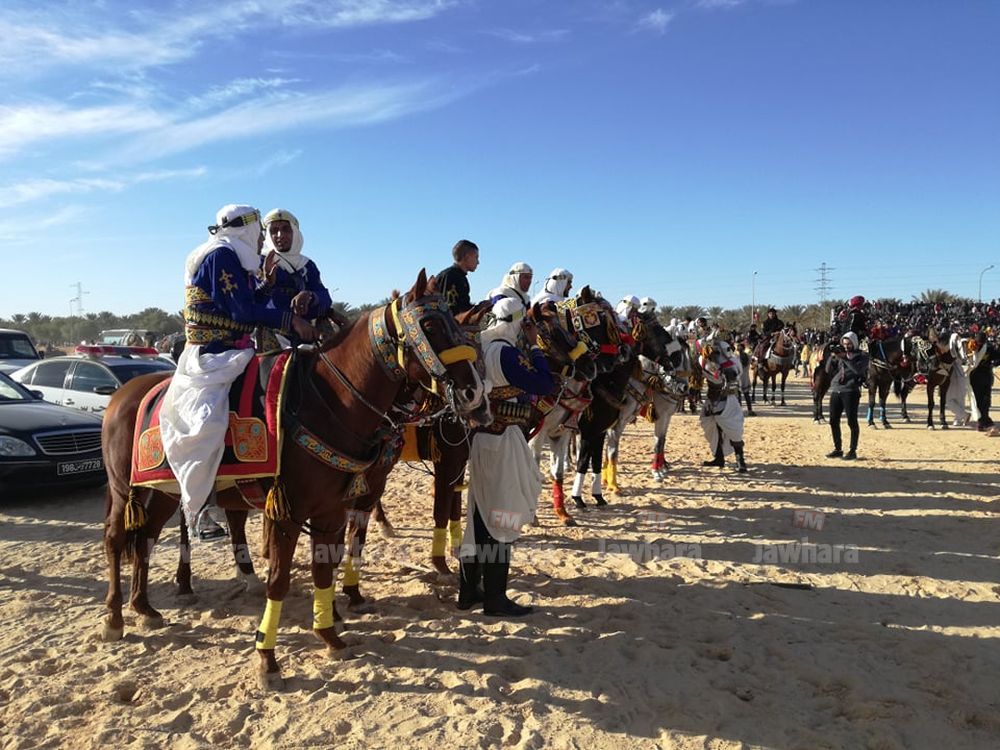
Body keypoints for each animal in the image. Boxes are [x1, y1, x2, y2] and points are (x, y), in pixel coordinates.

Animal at [100, 269, 490, 689]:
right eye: (430, 325)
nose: (475, 395)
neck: (330, 403)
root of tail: (123, 393)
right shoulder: (291, 511)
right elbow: (281, 579)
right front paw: (267, 658)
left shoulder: (333, 508)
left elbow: (326, 565)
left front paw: (330, 631)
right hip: (126, 490)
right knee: (118, 540)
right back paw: (116, 617)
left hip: (165, 491)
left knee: (147, 537)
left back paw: (144, 607)